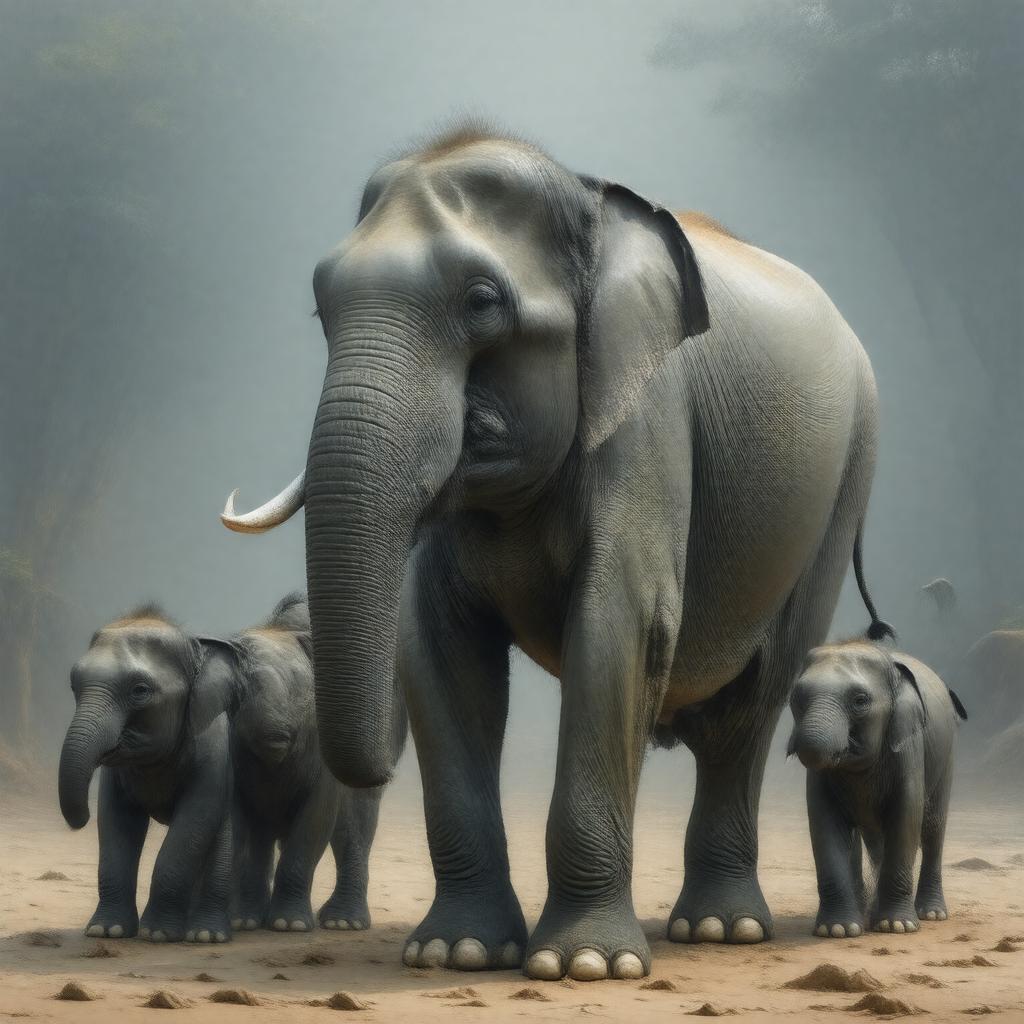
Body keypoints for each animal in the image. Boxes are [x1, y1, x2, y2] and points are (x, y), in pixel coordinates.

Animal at [58, 606, 234, 943]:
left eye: (140, 690)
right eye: (73, 685)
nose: (79, 821)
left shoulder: (213, 748)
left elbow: (195, 820)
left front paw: (159, 934)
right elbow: (115, 820)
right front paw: (106, 931)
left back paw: (205, 935)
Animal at [205, 593, 394, 933]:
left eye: (301, 691)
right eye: (245, 687)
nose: (276, 732)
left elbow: (315, 821)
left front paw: (287, 926)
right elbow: (242, 826)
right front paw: (243, 922)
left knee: (353, 823)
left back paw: (342, 923)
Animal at [787, 641, 967, 936]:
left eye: (860, 701)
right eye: (796, 698)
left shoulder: (908, 745)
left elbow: (906, 817)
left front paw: (897, 926)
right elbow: (825, 823)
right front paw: (838, 930)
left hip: (946, 757)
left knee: (933, 829)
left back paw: (931, 914)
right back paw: (866, 913)